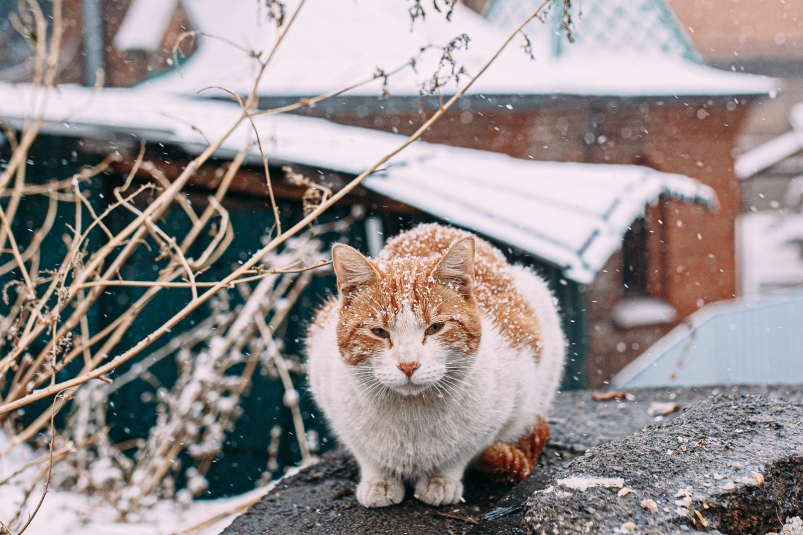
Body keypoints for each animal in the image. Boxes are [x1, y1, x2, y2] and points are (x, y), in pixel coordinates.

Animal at [306, 224, 564, 508]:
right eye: (379, 332)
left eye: (435, 327)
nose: (408, 365)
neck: (411, 418)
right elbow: (367, 455)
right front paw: (379, 481)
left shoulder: (516, 386)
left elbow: (462, 453)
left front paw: (441, 480)